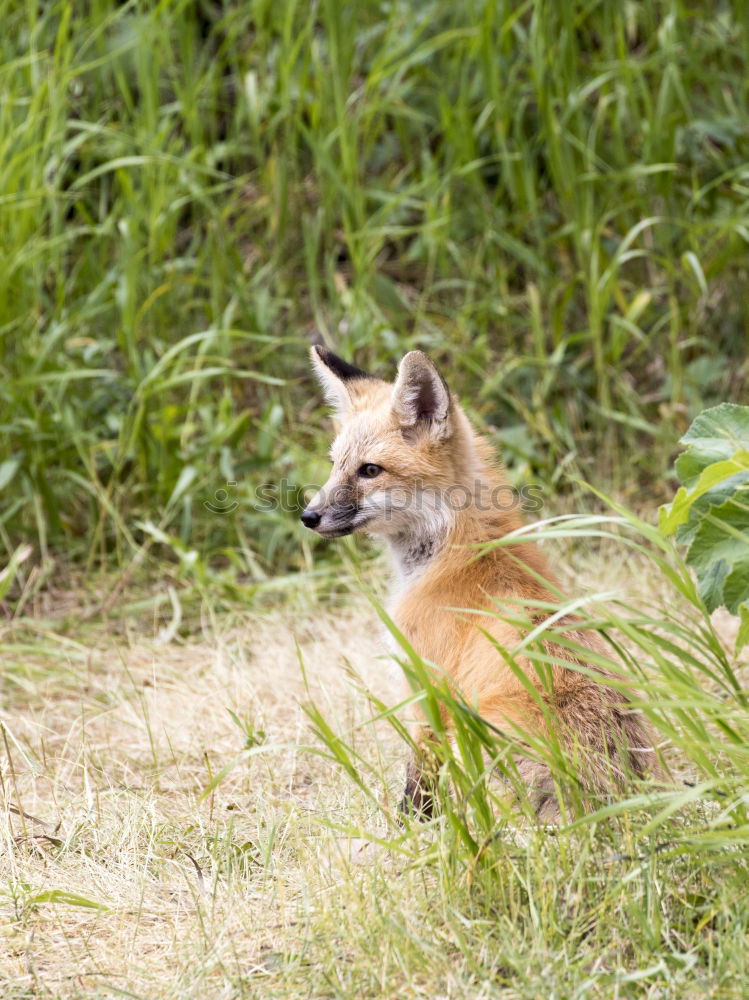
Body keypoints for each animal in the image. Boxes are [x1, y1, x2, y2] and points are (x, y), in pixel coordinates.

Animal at [300, 344, 660, 820]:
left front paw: (409, 825)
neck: (453, 555)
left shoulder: (430, 684)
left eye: (370, 470)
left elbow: (419, 776)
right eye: (335, 465)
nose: (308, 516)